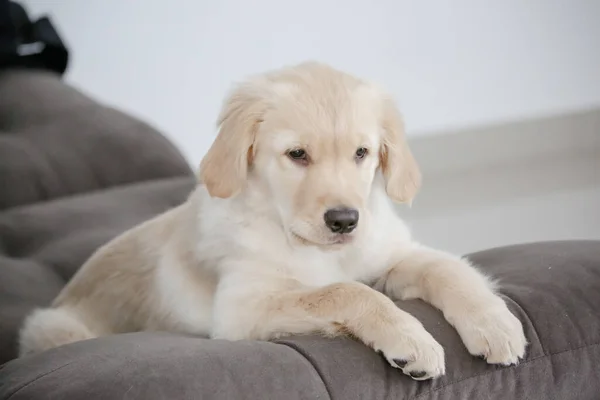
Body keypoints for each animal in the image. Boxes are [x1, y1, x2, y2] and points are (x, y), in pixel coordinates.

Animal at [17, 61, 524, 380]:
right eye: (297, 155)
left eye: (362, 153)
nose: (344, 220)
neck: (303, 240)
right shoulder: (240, 309)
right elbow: (344, 291)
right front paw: (410, 339)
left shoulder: (392, 255)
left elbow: (449, 268)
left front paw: (495, 324)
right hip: (52, 326)